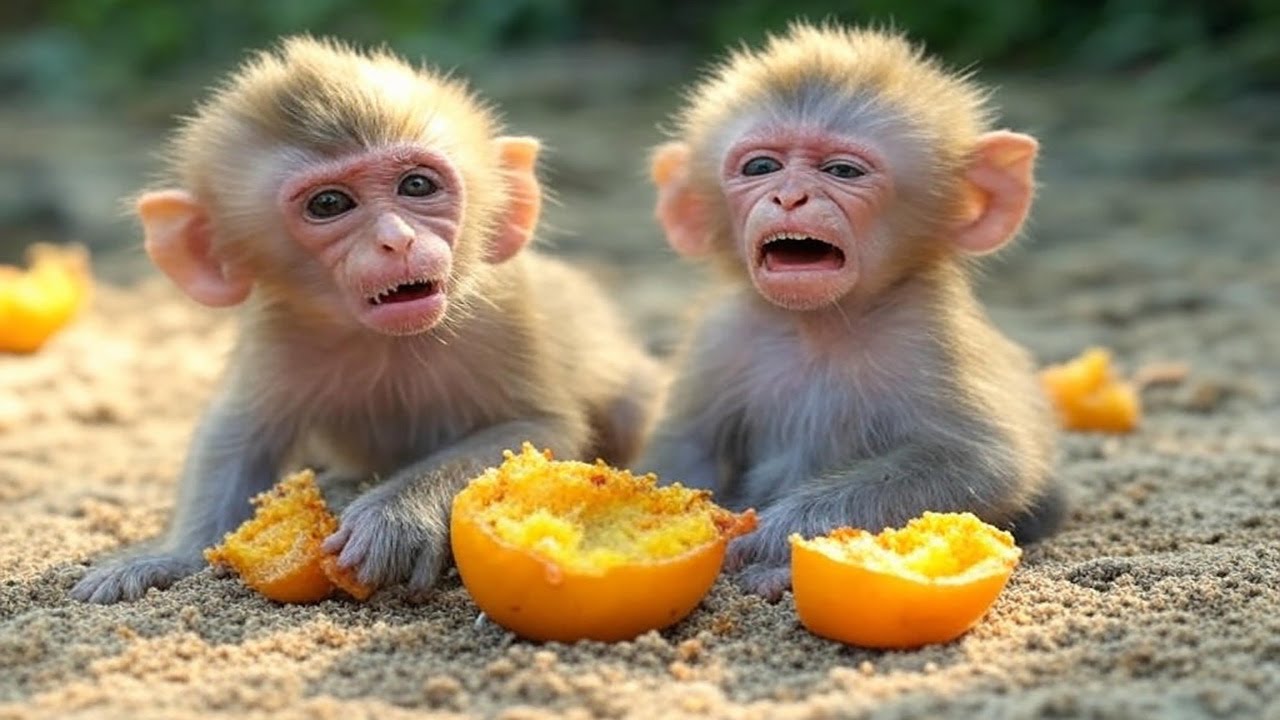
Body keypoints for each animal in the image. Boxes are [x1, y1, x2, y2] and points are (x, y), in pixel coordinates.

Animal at [70, 36, 660, 604]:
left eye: (417, 186)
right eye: (330, 204)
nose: (397, 239)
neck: (389, 340)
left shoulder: (502, 315)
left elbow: (538, 429)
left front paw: (396, 516)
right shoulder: (279, 331)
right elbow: (236, 435)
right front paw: (168, 557)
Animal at [636, 23, 1064, 599]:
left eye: (842, 170)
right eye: (762, 167)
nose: (789, 197)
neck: (819, 324)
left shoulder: (929, 335)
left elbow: (980, 463)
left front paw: (774, 534)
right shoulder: (719, 337)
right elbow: (685, 446)